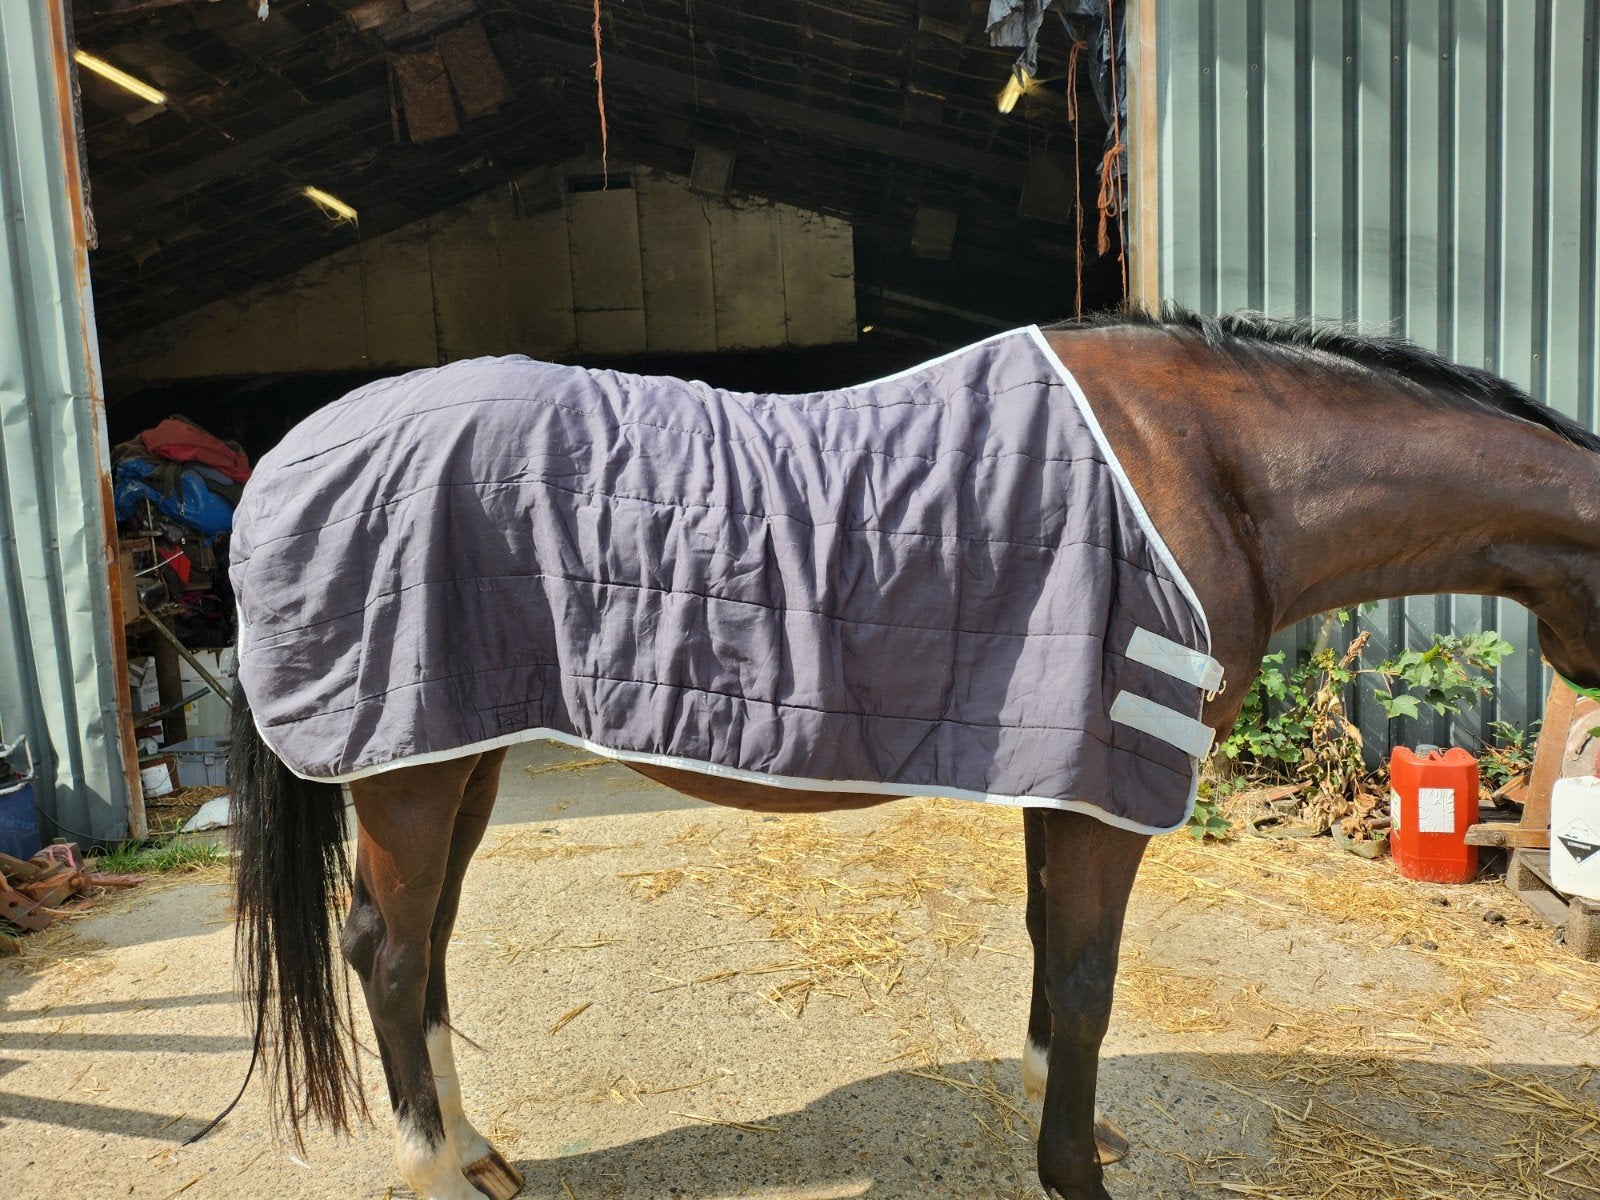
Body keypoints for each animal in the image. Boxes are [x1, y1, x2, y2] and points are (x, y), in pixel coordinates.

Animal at [222, 307, 1600, 1200]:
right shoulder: (1109, 788)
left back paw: (472, 1151)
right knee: (390, 955)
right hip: (408, 773)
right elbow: (1088, 981)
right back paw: (433, 1172)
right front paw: (1069, 1172)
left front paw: (1063, 1125)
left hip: (461, 751)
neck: (1217, 471)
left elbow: (1054, 959)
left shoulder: (1066, 770)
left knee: (425, 949)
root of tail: (294, 451)